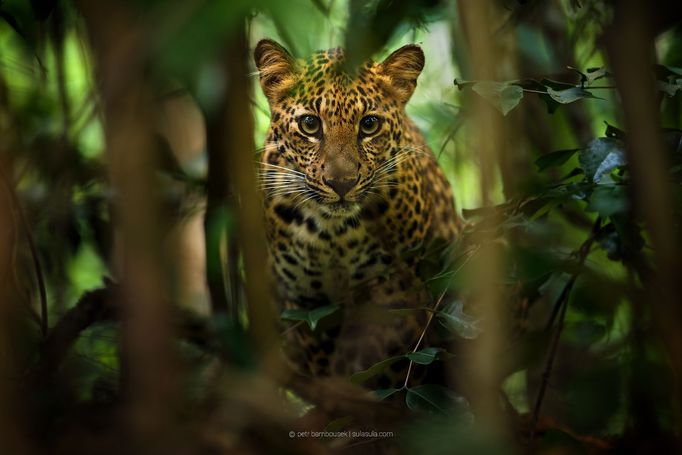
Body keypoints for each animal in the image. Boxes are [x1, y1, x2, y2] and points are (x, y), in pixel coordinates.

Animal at [255, 37, 462, 390]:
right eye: (310, 124)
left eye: (369, 124)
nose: (342, 183)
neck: (334, 232)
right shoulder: (308, 303)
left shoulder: (397, 295)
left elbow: (383, 367)